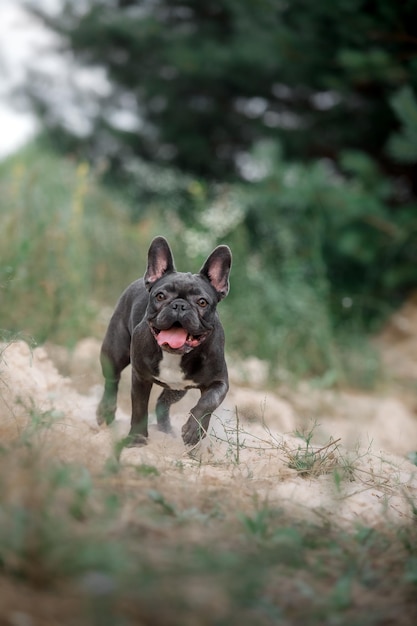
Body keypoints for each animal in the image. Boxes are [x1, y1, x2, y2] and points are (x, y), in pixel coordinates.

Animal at [96, 234, 232, 444]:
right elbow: (139, 408)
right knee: (112, 379)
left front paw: (194, 431)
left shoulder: (219, 382)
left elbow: (208, 402)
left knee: (162, 402)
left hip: (177, 389)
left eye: (202, 302)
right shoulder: (140, 377)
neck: (174, 355)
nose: (179, 305)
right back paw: (106, 411)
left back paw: (166, 431)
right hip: (115, 351)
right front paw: (137, 439)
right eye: (160, 296)